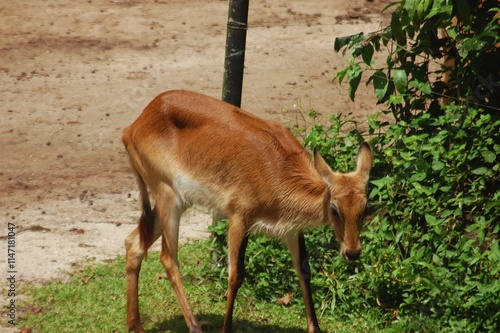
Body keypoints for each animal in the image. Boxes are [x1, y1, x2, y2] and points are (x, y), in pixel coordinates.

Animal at [121, 89, 372, 332]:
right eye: (334, 208)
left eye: (364, 207)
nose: (352, 252)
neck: (278, 173)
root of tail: (132, 127)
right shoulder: (239, 218)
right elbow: (235, 275)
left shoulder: (291, 230)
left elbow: (304, 269)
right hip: (168, 196)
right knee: (168, 258)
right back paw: (194, 327)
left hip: (177, 201)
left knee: (134, 243)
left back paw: (136, 325)